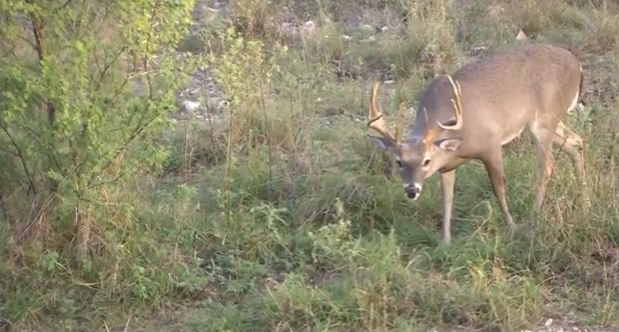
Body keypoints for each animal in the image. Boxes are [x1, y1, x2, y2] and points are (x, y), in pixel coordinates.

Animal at [370, 42, 588, 243]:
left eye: (426, 161)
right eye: (398, 162)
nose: (411, 190)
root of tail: (577, 66)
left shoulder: (491, 144)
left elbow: (498, 188)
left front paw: (512, 226)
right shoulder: (447, 165)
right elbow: (447, 199)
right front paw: (445, 242)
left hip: (544, 120)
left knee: (547, 167)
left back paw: (533, 219)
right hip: (548, 123)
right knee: (577, 142)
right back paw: (584, 198)